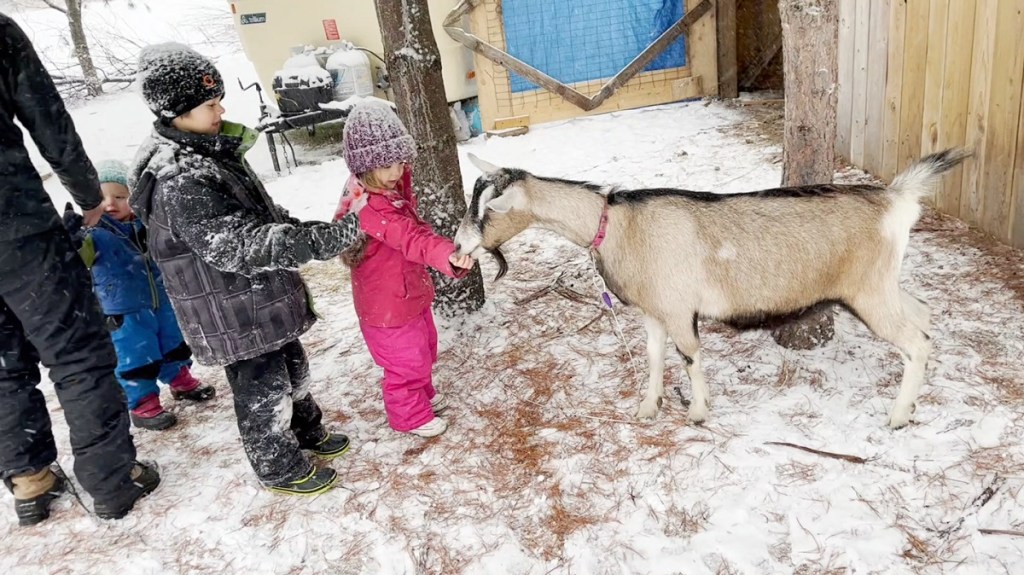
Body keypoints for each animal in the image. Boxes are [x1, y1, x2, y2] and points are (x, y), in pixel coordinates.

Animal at [454, 150, 966, 427]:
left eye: (488, 209)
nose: (457, 245)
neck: (619, 223)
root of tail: (897, 199)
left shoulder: (680, 308)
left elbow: (690, 356)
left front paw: (698, 412)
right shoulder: (654, 310)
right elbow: (655, 357)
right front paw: (648, 406)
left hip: (868, 292)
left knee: (915, 341)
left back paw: (898, 415)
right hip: (884, 284)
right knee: (925, 316)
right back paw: (913, 402)